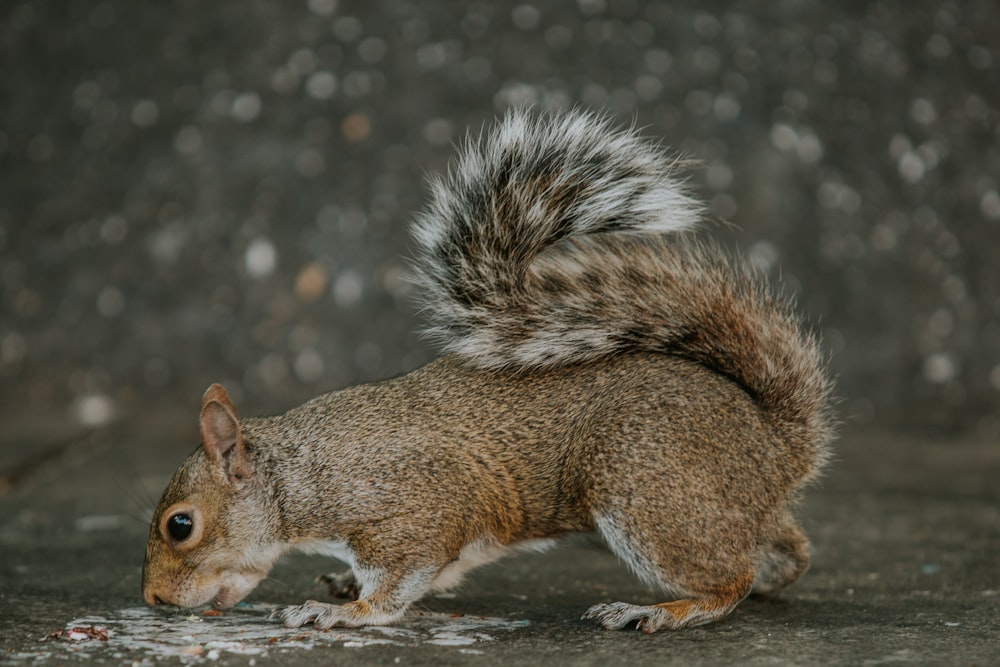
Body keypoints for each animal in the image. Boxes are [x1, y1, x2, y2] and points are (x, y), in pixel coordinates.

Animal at [143, 108, 836, 632]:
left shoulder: (417, 508)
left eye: (181, 526)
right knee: (784, 551)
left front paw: (345, 611)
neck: (301, 479)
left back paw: (666, 610)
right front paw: (342, 583)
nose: (152, 598)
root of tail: (774, 444)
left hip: (644, 485)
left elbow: (404, 577)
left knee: (729, 578)